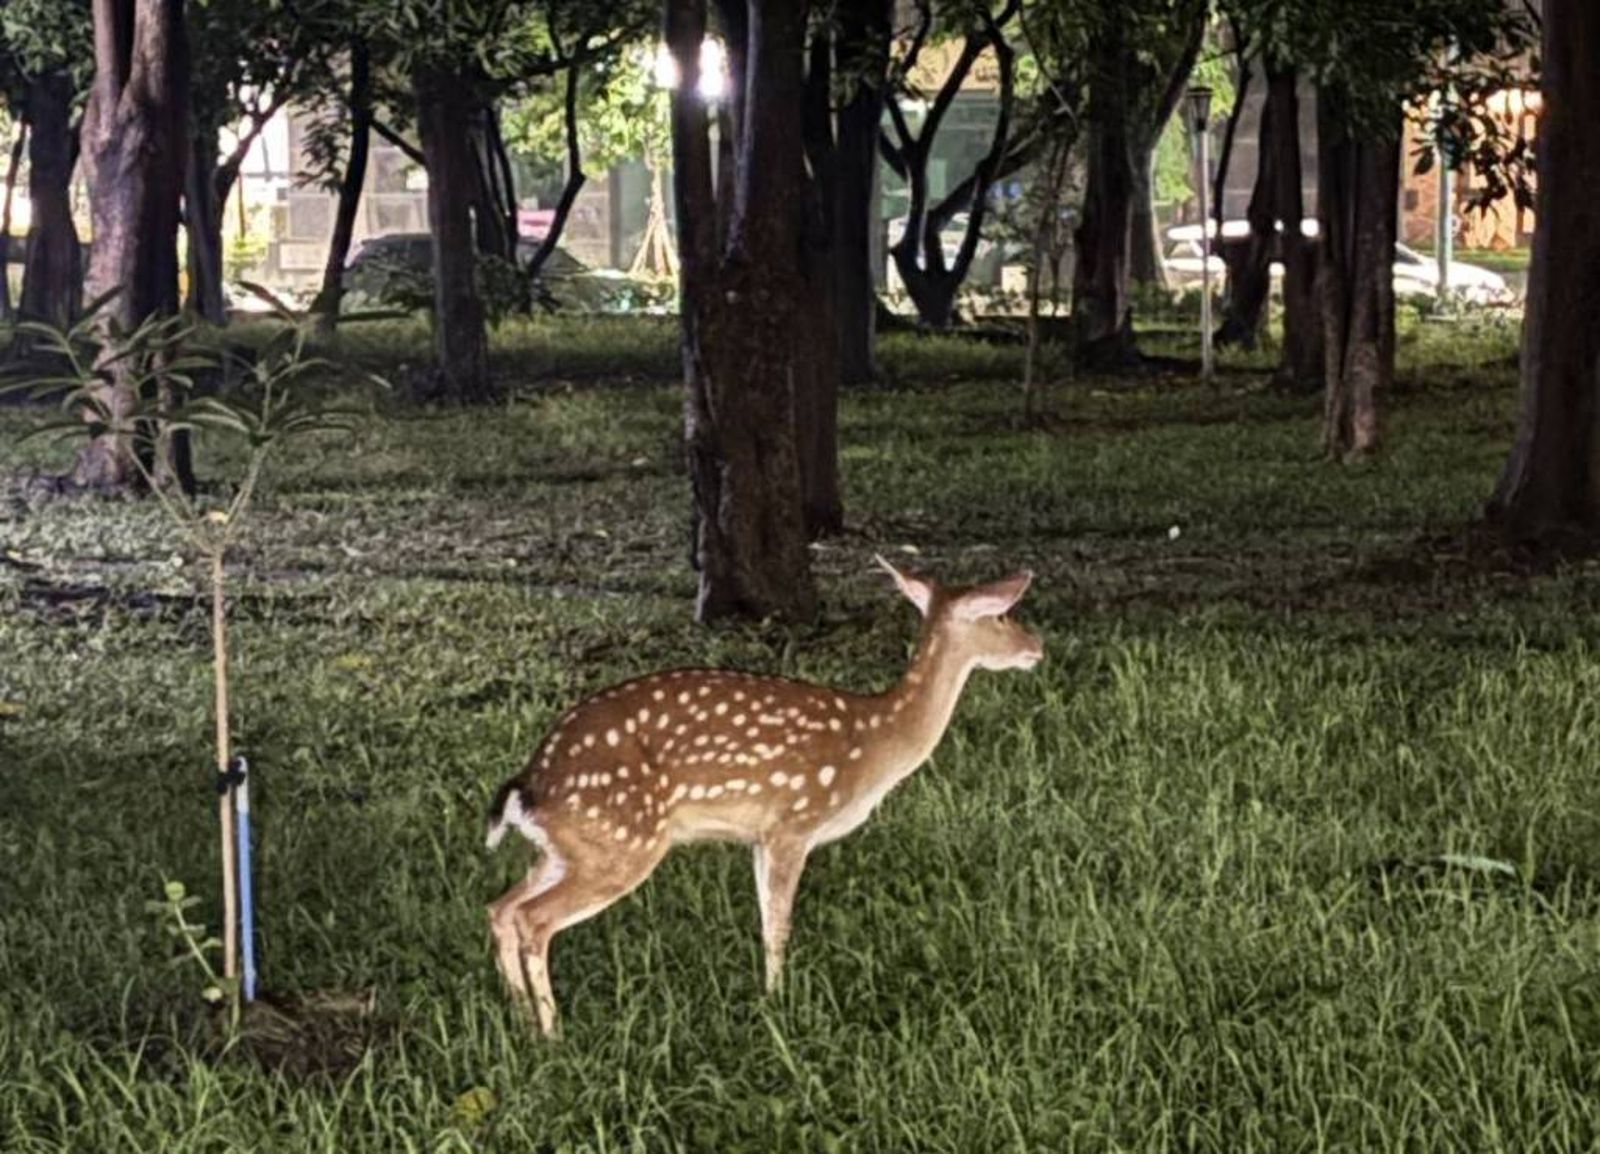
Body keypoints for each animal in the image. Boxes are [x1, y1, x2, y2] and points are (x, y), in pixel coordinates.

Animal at [483, 556, 1043, 1037]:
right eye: (1001, 614)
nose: (1037, 646)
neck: (875, 742)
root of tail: (529, 784)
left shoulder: (757, 836)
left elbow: (763, 919)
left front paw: (769, 998)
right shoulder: (793, 823)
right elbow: (779, 925)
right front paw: (780, 1002)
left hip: (573, 846)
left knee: (501, 907)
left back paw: (521, 1019)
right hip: (621, 841)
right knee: (533, 918)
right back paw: (552, 1031)